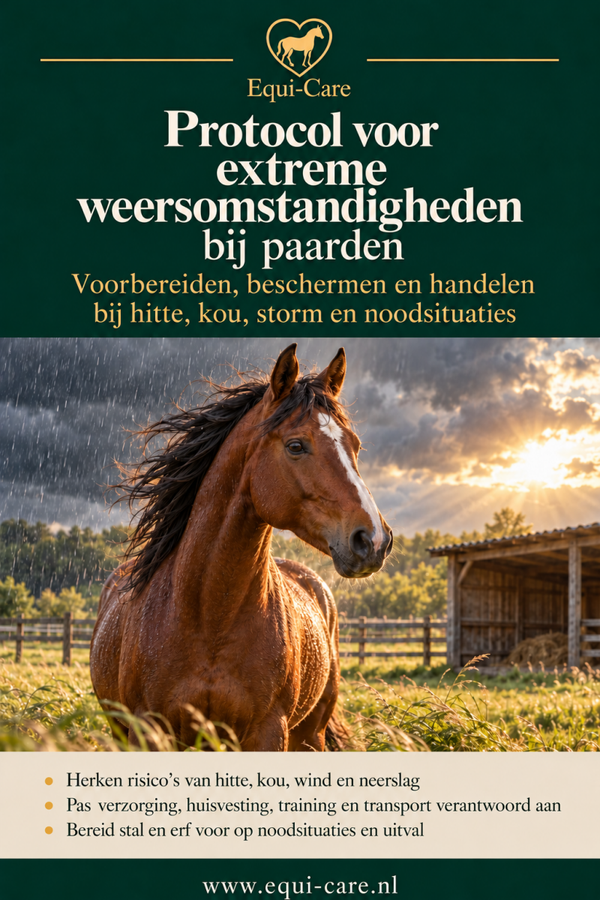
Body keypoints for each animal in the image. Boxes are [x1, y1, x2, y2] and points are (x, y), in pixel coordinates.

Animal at [90, 344, 393, 751]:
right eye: (296, 445)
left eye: (355, 446)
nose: (373, 540)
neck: (208, 617)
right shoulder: (149, 731)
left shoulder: (268, 731)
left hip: (308, 735)